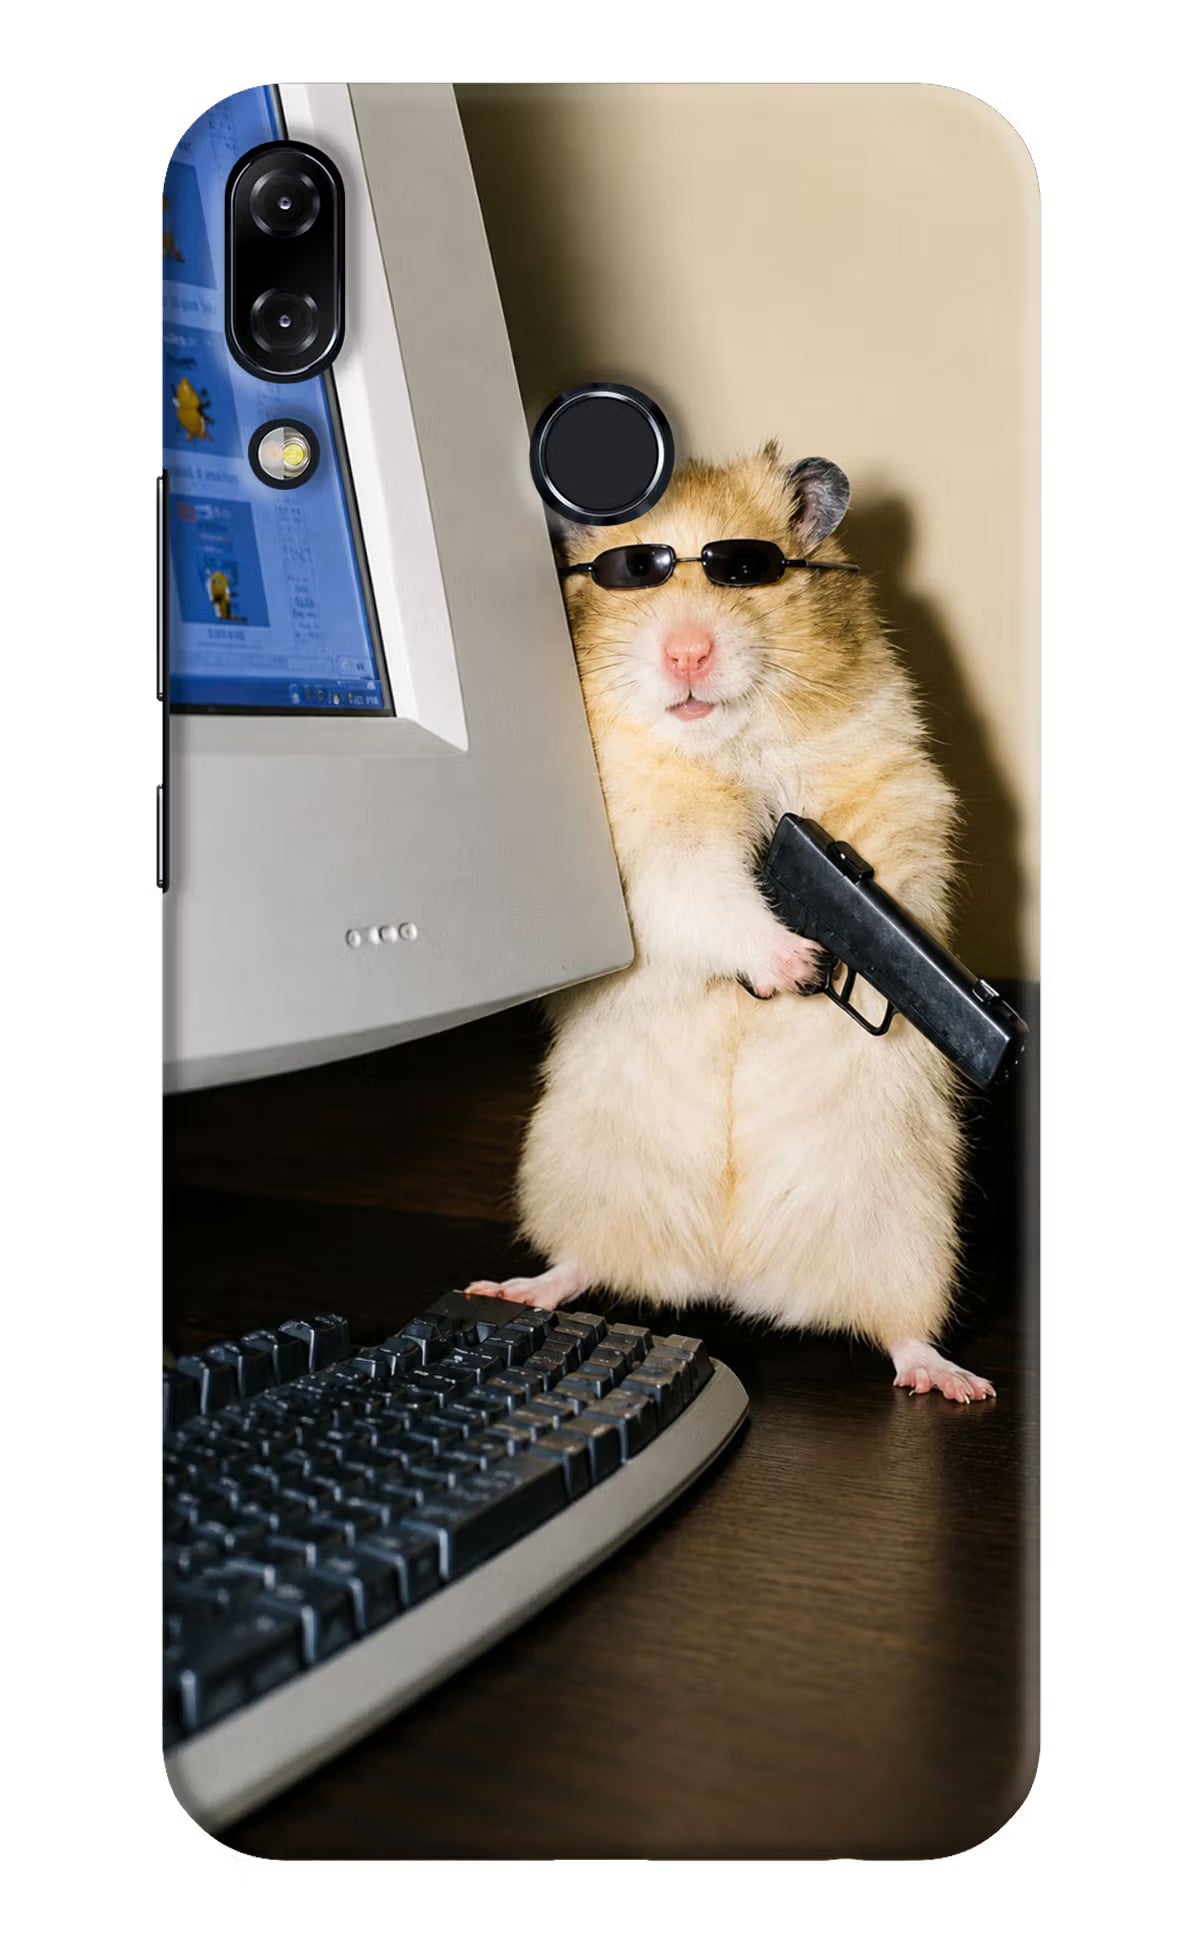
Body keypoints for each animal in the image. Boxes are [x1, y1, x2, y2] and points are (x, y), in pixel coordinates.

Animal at [468, 445, 993, 1403]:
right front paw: (797, 963)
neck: (727, 746)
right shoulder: (649, 851)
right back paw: (514, 1288)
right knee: (582, 1263)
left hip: (907, 1230)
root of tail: (730, 1276)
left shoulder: (895, 790)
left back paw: (954, 1382)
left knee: (900, 1329)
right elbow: (709, 895)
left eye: (746, 570)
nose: (686, 652)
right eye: (630, 575)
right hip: (580, 1177)